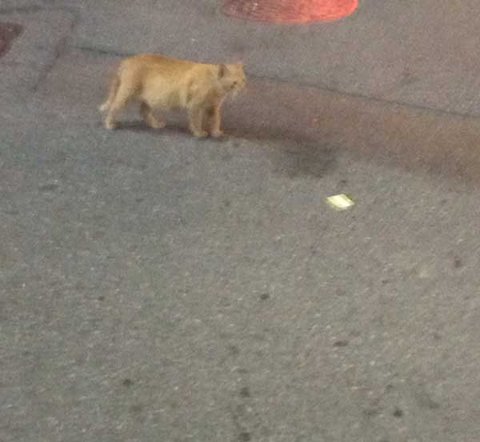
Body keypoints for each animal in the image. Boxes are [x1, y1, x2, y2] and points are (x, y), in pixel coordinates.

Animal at [99, 54, 246, 138]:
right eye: (235, 82)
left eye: (244, 80)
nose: (242, 87)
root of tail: (128, 60)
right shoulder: (195, 106)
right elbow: (196, 121)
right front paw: (199, 133)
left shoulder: (213, 108)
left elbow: (216, 120)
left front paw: (216, 132)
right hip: (126, 94)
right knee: (114, 107)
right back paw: (109, 124)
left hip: (151, 99)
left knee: (143, 112)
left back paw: (156, 124)